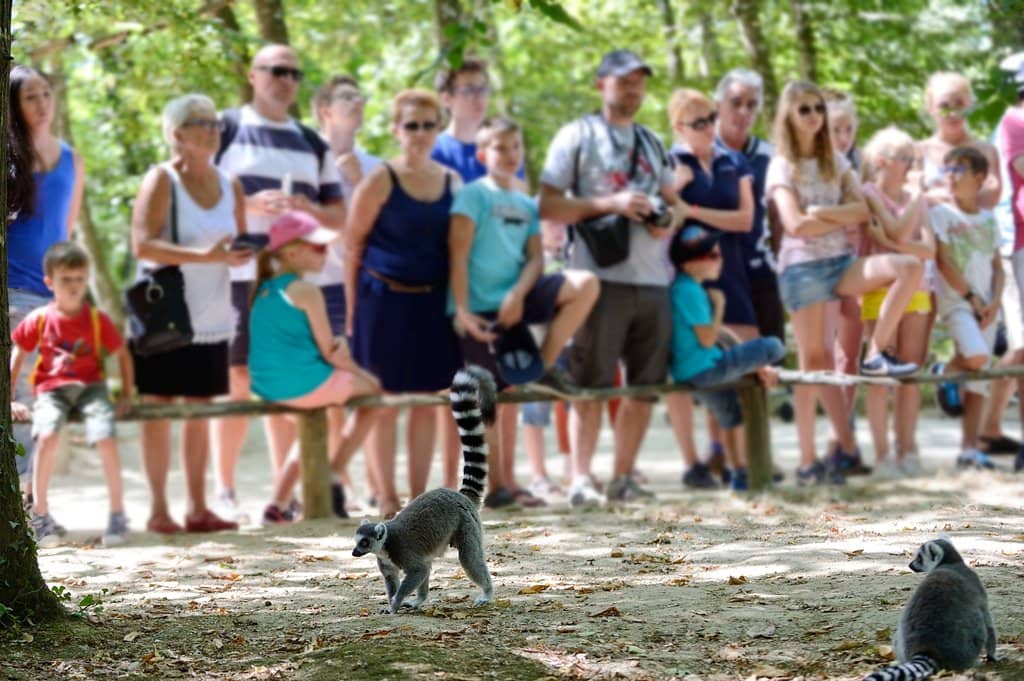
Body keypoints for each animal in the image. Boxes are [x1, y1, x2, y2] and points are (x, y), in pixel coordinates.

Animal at [352, 366, 497, 614]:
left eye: (364, 542)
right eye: (356, 540)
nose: (354, 552)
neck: (384, 546)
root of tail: (459, 495)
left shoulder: (402, 551)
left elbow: (417, 570)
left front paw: (395, 604)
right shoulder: (387, 563)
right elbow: (398, 578)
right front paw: (392, 604)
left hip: (467, 524)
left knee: (469, 557)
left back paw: (486, 592)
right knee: (431, 565)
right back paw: (420, 600)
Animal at [862, 537, 998, 681]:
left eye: (919, 557)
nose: (910, 565)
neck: (951, 562)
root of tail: (927, 647)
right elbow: (988, 623)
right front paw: (992, 656)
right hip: (967, 645)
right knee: (980, 625)